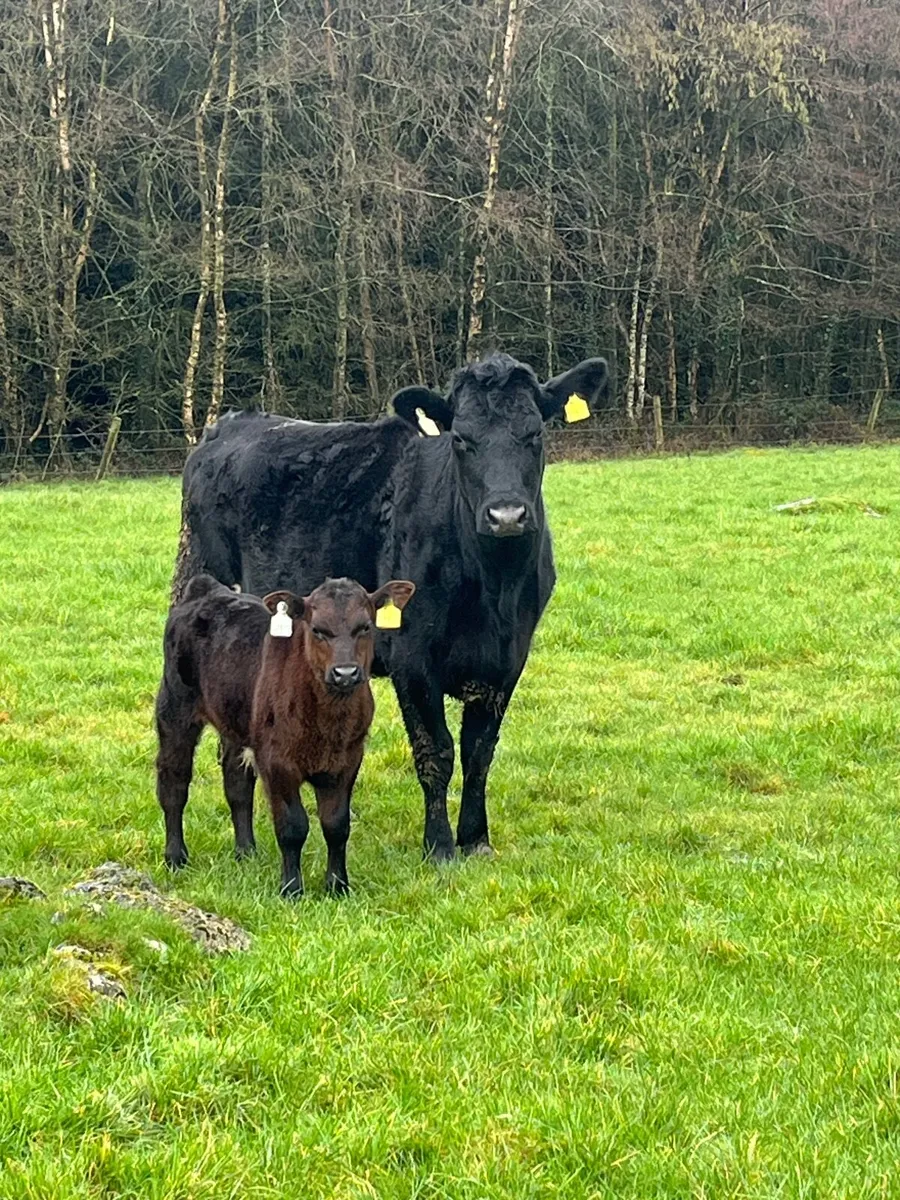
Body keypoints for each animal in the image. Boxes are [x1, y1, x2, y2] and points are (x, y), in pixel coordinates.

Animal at [155, 573, 415, 896]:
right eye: (317, 630)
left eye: (365, 627)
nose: (345, 673)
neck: (327, 722)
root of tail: (208, 589)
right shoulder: (276, 761)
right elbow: (293, 826)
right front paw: (291, 888)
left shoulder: (348, 759)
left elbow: (336, 825)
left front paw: (337, 886)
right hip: (175, 707)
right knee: (174, 783)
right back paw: (175, 857)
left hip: (237, 721)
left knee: (237, 783)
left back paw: (246, 851)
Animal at [172, 352, 609, 861]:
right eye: (460, 439)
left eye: (535, 434)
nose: (506, 515)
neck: (493, 588)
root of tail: (230, 424)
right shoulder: (412, 657)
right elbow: (436, 750)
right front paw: (439, 846)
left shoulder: (508, 658)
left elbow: (479, 751)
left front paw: (476, 839)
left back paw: (246, 848)